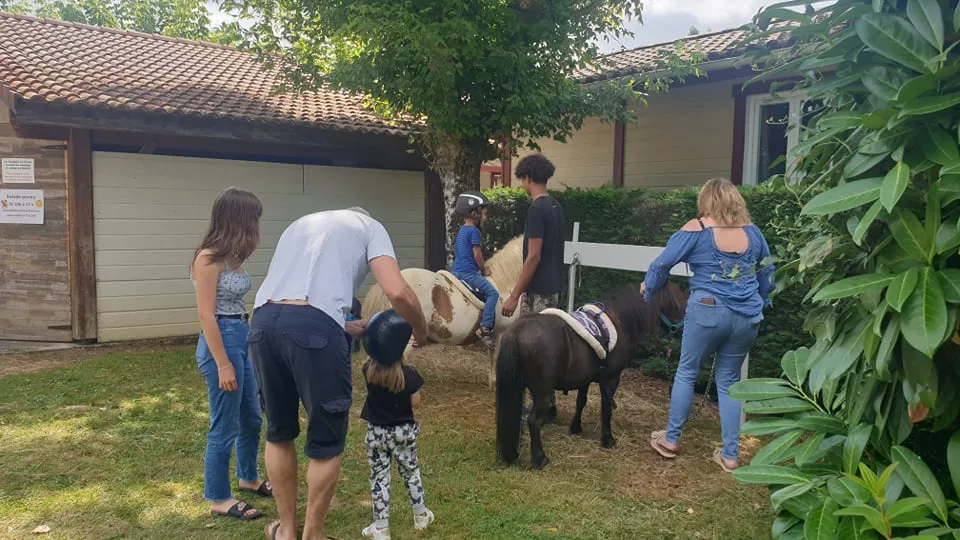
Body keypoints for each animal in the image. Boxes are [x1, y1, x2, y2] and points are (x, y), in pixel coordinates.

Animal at [498, 282, 688, 468]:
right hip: (543, 393)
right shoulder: (611, 379)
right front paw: (608, 439)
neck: (619, 320)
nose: (684, 331)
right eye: (676, 305)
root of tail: (517, 331)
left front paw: (576, 428)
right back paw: (540, 459)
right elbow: (606, 407)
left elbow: (580, 402)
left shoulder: (584, 379)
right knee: (534, 421)